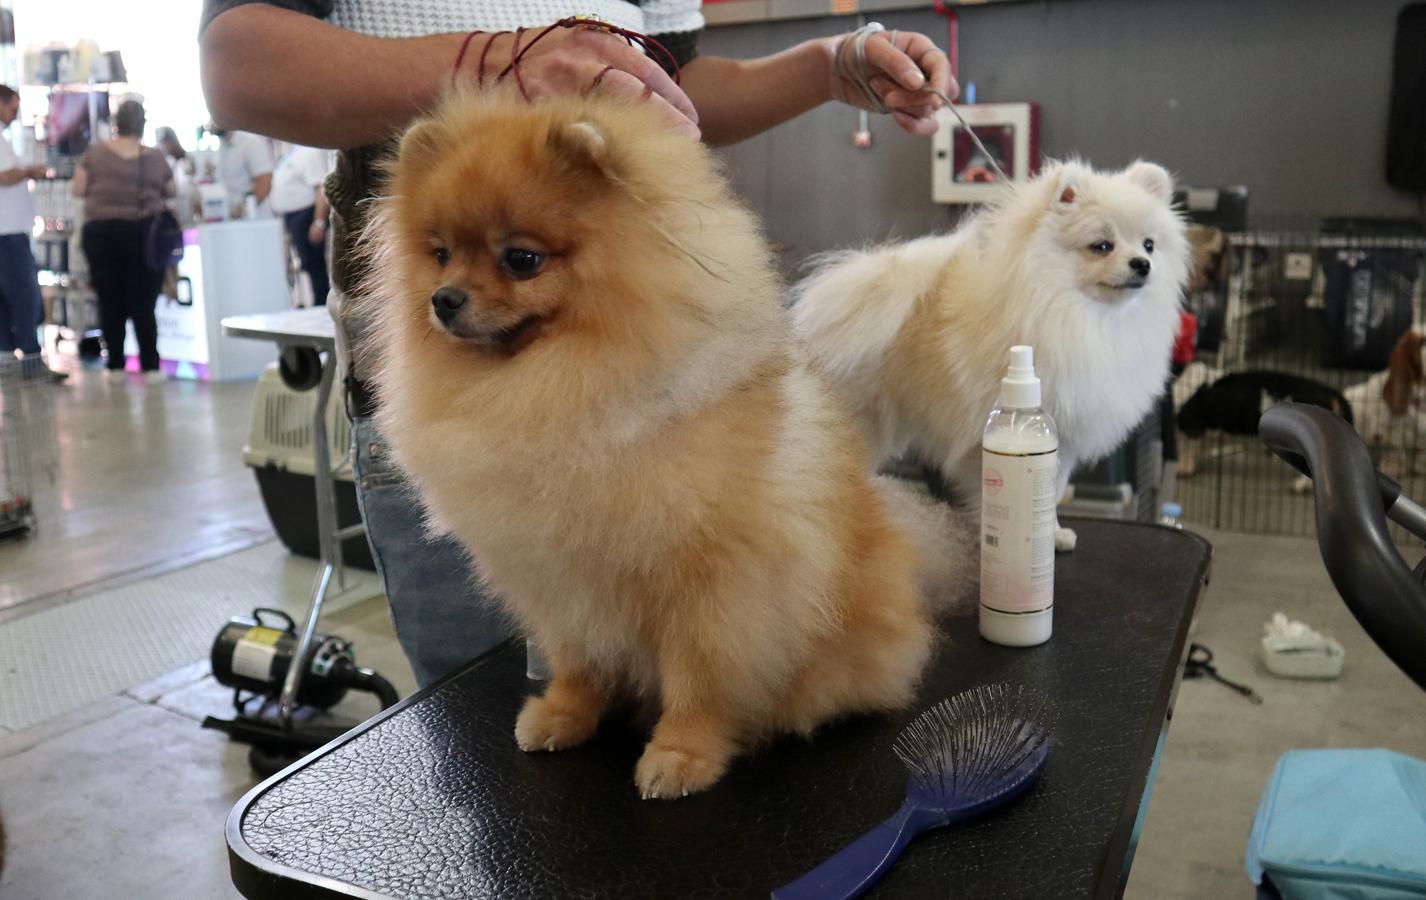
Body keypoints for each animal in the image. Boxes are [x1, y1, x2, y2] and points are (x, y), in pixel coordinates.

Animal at [362, 88, 975, 798]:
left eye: (521, 259)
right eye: (439, 254)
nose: (444, 299)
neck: (557, 387)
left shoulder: (711, 586)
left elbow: (698, 678)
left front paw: (682, 754)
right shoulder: (556, 581)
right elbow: (577, 661)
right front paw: (564, 715)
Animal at [798, 161, 1186, 550]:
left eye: (1149, 245)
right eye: (1102, 246)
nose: (1142, 263)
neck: (1083, 317)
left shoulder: (1062, 434)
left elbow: (1052, 488)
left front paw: (1052, 534)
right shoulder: (981, 436)